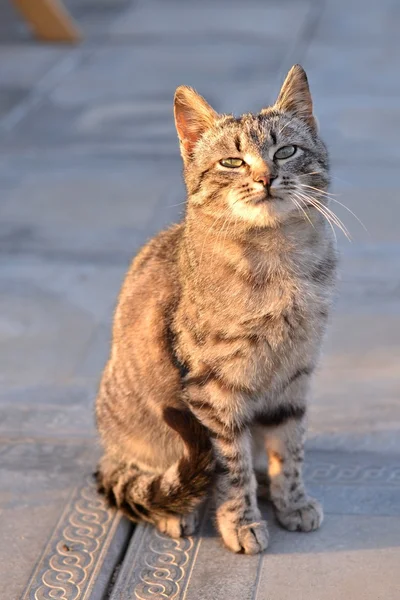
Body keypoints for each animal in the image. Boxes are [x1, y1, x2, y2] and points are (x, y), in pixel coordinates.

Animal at [96, 64, 338, 552]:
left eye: (286, 151)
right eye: (232, 162)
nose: (265, 178)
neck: (277, 258)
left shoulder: (295, 376)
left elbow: (290, 448)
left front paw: (292, 500)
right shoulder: (214, 390)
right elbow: (232, 465)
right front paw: (241, 521)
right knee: (150, 476)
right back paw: (177, 511)